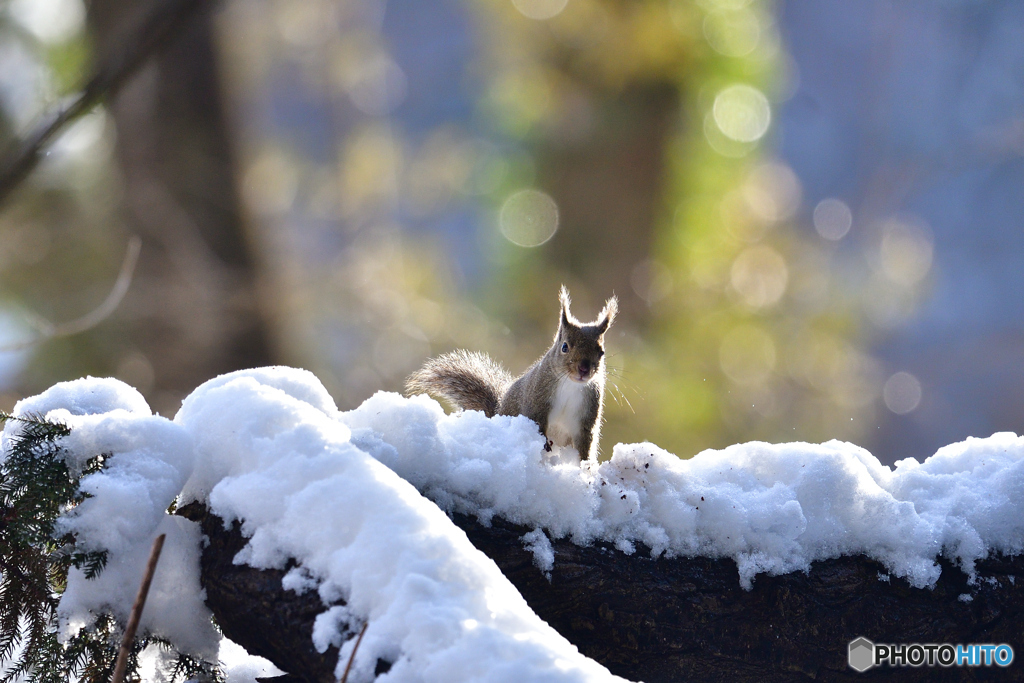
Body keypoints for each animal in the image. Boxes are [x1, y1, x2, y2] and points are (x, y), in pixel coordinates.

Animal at [405, 286, 614, 462]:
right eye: (565, 347)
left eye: (601, 352)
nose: (584, 369)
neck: (571, 384)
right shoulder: (536, 400)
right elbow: (537, 423)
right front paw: (544, 443)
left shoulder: (586, 417)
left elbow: (585, 444)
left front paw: (586, 467)